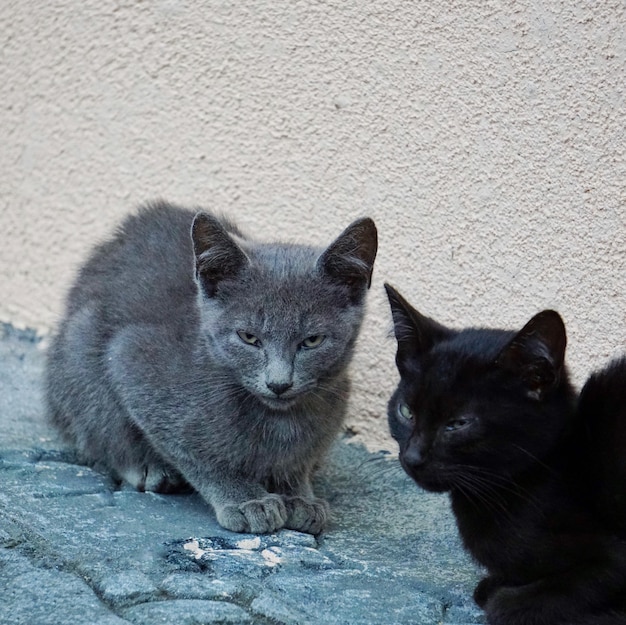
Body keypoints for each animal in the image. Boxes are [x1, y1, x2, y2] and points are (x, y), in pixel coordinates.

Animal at [46, 202, 378, 532]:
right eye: (248, 337)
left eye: (312, 341)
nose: (279, 383)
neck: (278, 421)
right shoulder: (132, 360)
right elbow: (199, 456)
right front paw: (247, 499)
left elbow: (297, 462)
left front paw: (298, 496)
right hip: (80, 346)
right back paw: (148, 468)